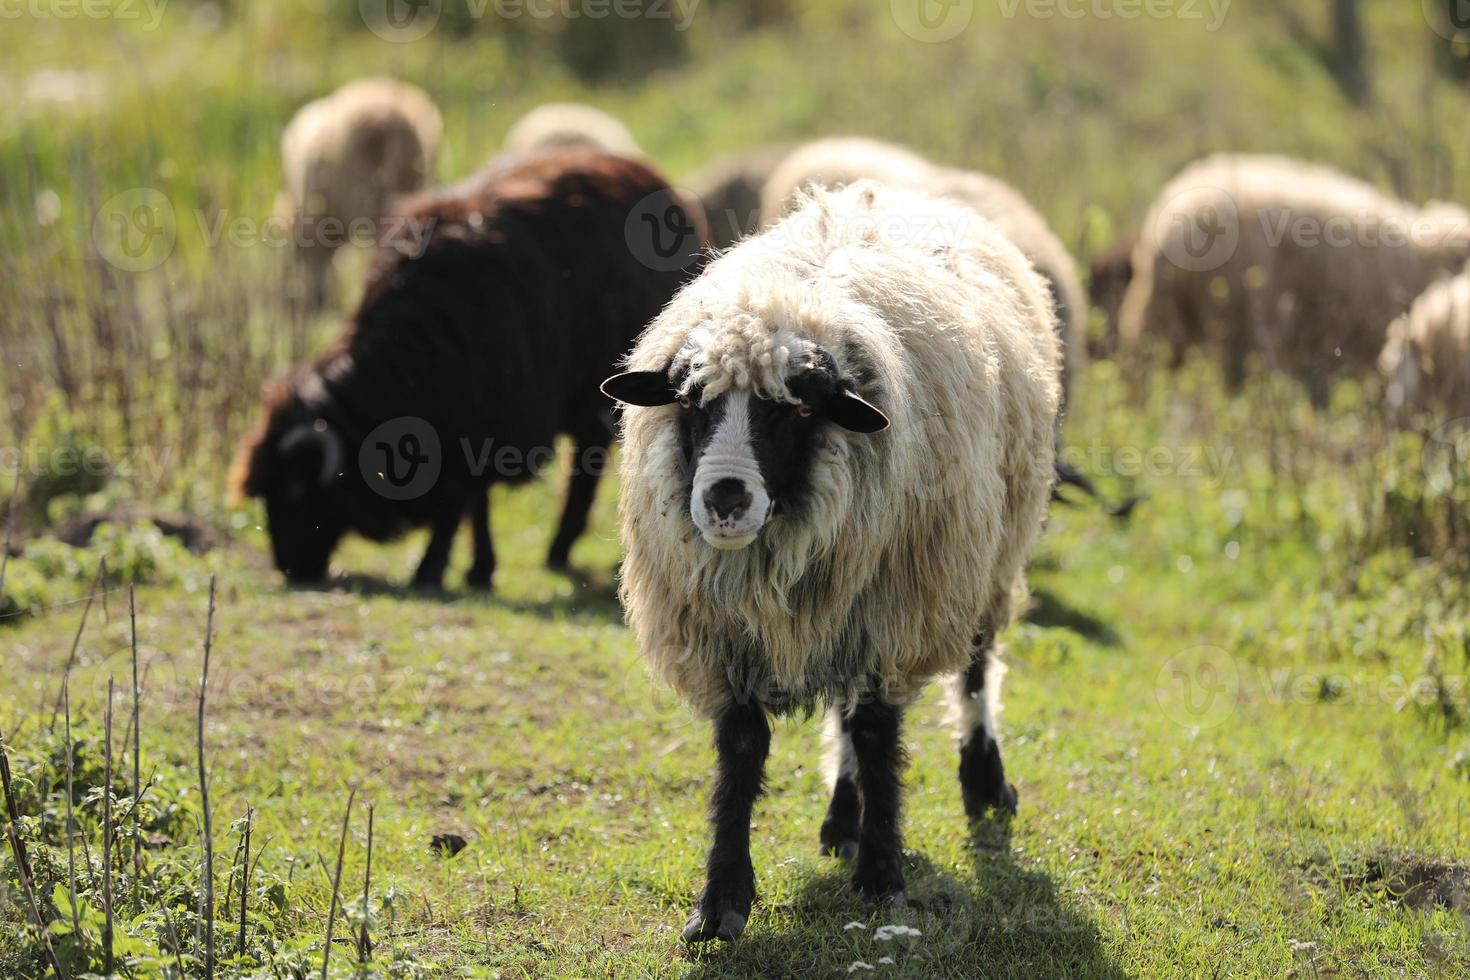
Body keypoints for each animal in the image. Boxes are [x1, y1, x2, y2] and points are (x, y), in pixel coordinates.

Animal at [233, 146, 705, 590]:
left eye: (297, 488)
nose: (290, 569)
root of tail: (645, 174)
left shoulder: (485, 421)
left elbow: (459, 499)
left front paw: (432, 568)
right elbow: (475, 503)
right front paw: (479, 568)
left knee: (584, 467)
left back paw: (559, 546)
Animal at [602, 182, 1064, 940]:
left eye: (793, 412)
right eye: (692, 402)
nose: (724, 497)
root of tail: (891, 189)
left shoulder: (892, 611)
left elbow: (878, 735)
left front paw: (881, 875)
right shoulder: (731, 635)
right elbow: (743, 752)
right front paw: (721, 900)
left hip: (984, 558)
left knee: (971, 670)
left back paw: (983, 781)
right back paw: (843, 818)